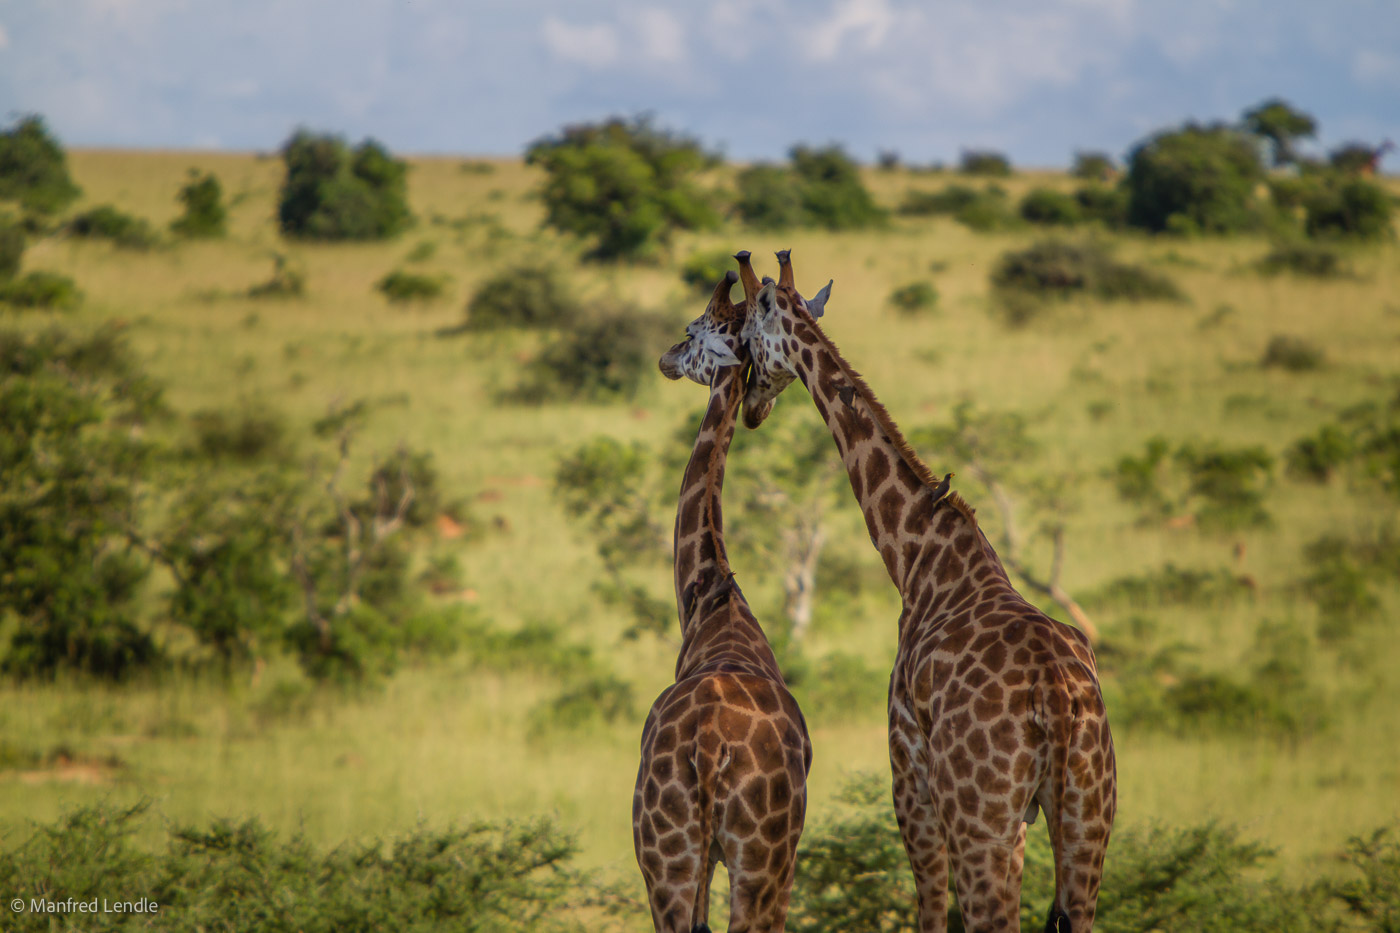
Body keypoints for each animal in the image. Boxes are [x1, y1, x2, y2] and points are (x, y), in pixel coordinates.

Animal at [635, 267, 812, 930]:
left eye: (692, 330)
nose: (664, 357)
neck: (712, 596)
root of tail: (710, 742)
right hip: (729, 857)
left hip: (688, 856)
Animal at [733, 249, 1114, 930]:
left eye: (751, 332)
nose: (751, 403)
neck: (918, 556)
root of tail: (1057, 697)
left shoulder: (909, 775)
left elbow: (930, 909)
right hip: (1086, 815)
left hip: (979, 817)